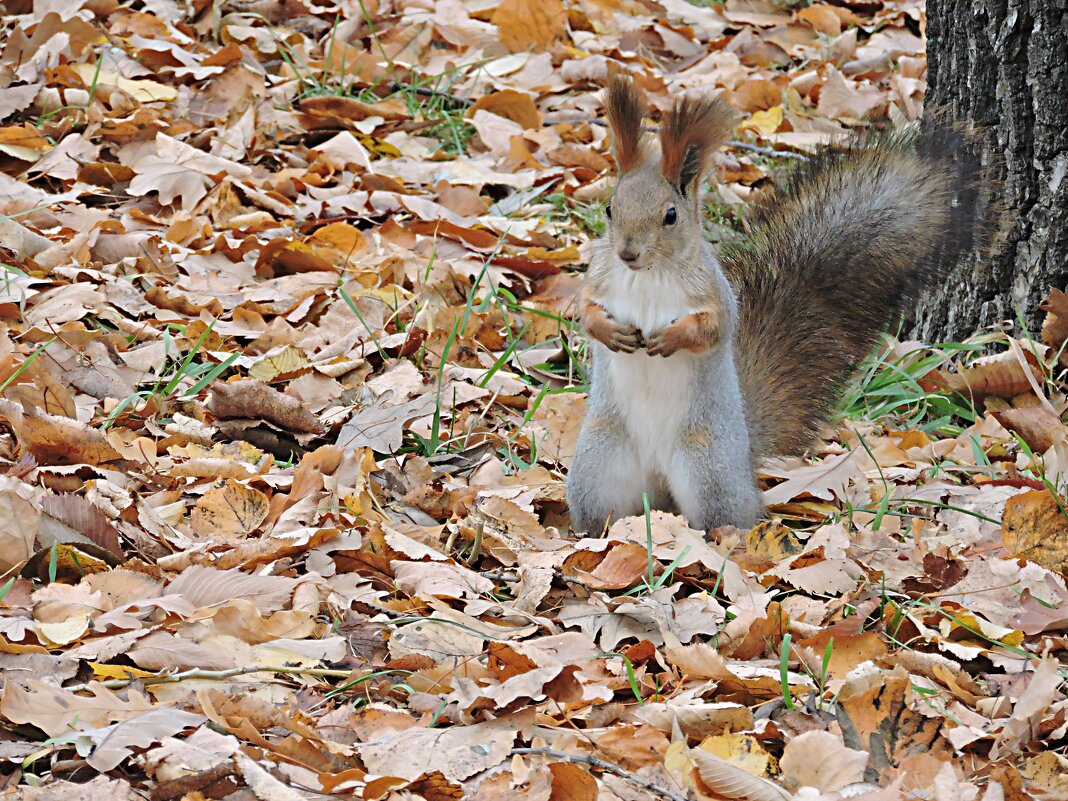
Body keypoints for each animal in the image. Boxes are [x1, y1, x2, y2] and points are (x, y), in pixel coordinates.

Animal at [572, 75, 978, 534]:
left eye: (670, 215)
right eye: (610, 208)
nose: (628, 252)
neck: (645, 276)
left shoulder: (713, 293)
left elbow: (713, 328)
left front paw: (670, 338)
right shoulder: (600, 278)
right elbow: (586, 311)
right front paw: (611, 332)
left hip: (707, 470)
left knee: (728, 517)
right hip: (600, 464)